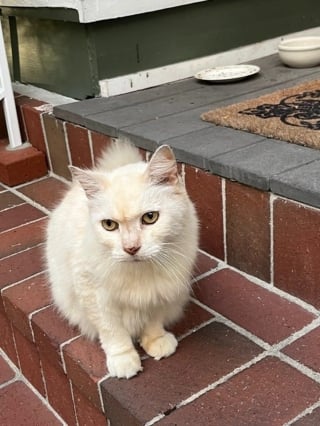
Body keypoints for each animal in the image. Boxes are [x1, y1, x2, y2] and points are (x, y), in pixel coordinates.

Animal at [45, 141, 198, 378]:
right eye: (109, 225)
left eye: (150, 217)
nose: (131, 248)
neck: (140, 271)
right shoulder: (95, 296)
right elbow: (113, 332)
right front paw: (123, 360)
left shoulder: (160, 293)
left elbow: (153, 320)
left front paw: (156, 341)